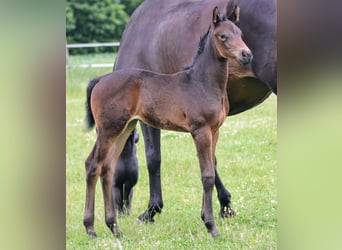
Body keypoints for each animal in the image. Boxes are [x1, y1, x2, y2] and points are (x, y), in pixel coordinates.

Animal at [84, 5, 252, 236]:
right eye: (223, 36)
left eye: (240, 34)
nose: (247, 55)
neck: (202, 82)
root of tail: (100, 79)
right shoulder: (200, 130)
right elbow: (207, 175)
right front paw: (211, 226)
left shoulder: (215, 131)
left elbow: (211, 169)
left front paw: (209, 220)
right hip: (108, 129)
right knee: (93, 165)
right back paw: (91, 229)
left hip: (124, 128)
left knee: (107, 168)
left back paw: (114, 227)